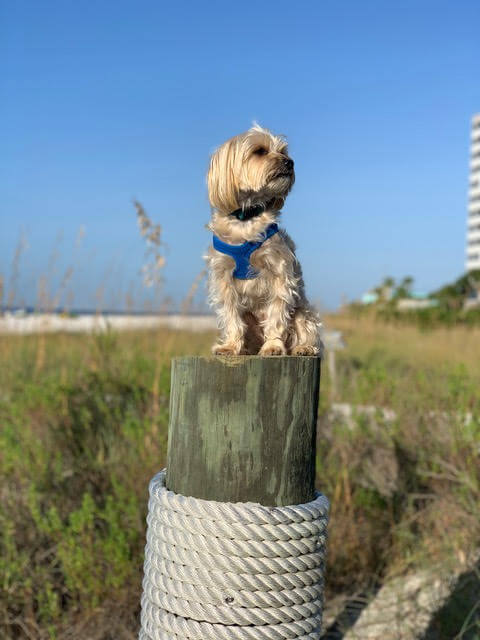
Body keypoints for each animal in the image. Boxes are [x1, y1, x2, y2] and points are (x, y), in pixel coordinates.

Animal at [204, 124, 320, 356]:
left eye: (283, 151)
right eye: (259, 151)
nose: (289, 162)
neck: (247, 218)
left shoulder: (279, 271)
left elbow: (277, 313)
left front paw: (273, 345)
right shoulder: (224, 277)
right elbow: (231, 316)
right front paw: (230, 346)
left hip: (303, 311)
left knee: (305, 329)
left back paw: (303, 347)